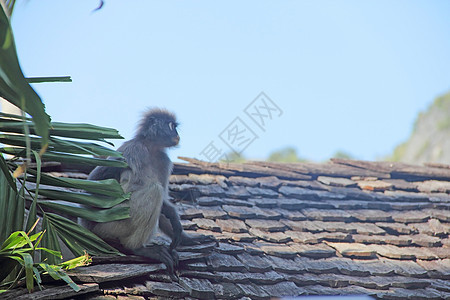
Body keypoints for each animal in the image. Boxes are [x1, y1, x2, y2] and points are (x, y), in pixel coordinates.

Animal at [81, 108, 200, 278]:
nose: (177, 134)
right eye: (171, 126)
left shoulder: (163, 160)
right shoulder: (136, 151)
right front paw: (172, 212)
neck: (150, 148)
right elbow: (128, 190)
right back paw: (137, 248)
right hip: (108, 225)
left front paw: (185, 237)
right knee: (154, 190)